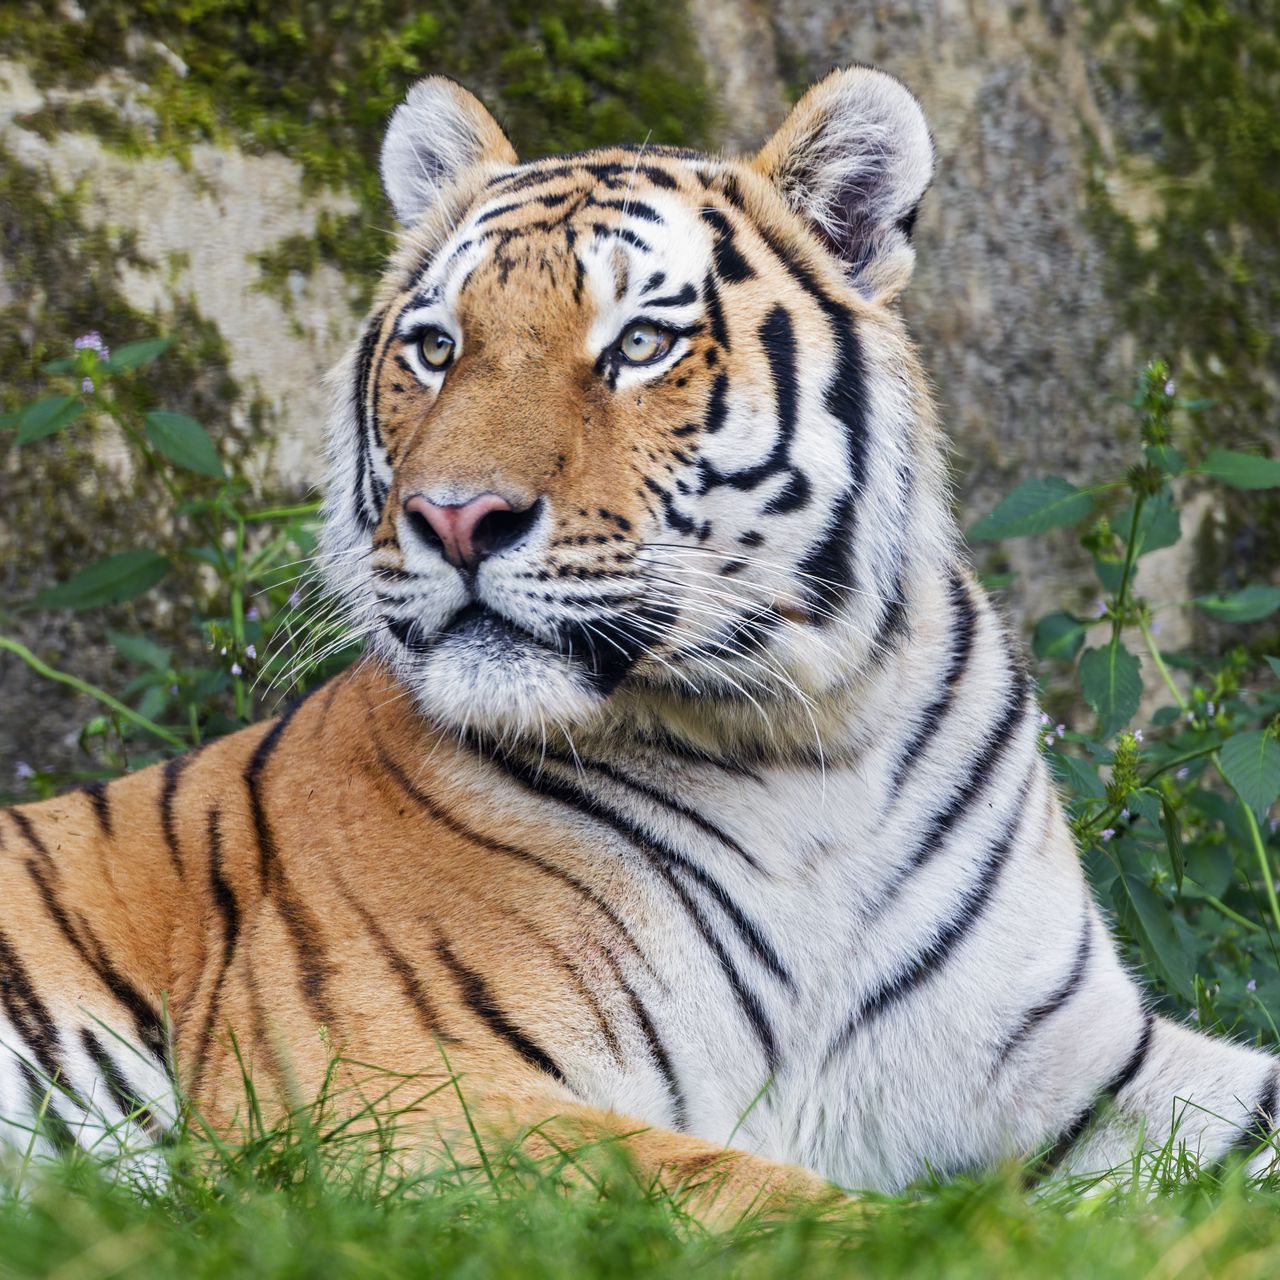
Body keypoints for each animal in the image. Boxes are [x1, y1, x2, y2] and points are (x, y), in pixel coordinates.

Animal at [1, 66, 1276, 1214]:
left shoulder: (1079, 1060)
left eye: (639, 343)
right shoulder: (376, 1085)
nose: (455, 516)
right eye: (434, 347)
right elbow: (778, 1202)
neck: (805, 744)